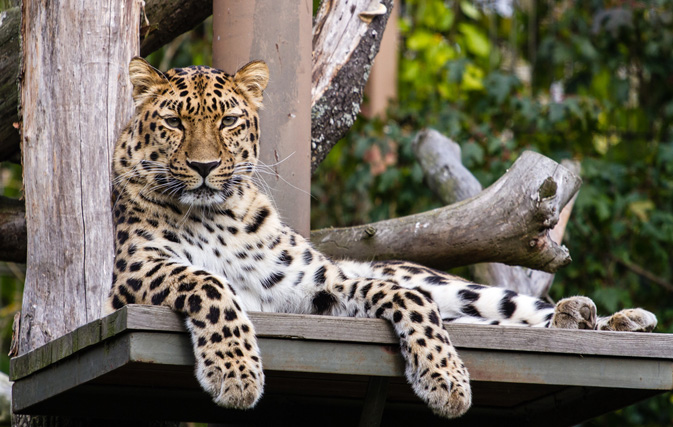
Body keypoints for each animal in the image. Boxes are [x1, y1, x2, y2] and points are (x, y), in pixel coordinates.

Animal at [109, 57, 656, 422]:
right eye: (174, 122)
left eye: (227, 121)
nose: (204, 167)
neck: (215, 214)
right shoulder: (131, 274)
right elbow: (210, 284)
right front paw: (236, 371)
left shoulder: (317, 286)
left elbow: (410, 300)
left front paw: (445, 378)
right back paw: (585, 317)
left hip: (453, 285)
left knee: (506, 309)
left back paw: (614, 319)